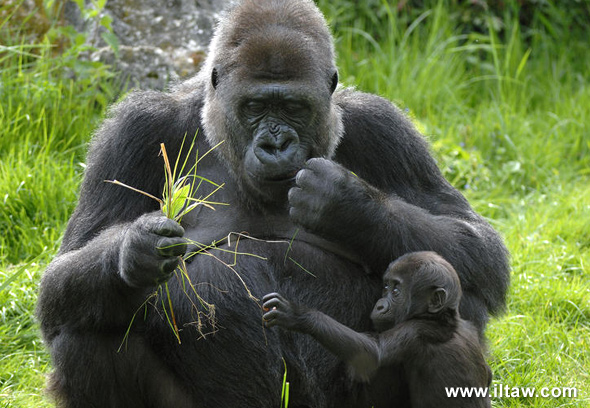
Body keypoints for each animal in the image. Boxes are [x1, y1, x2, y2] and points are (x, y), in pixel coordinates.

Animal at [266, 252, 492, 408]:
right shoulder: (467, 325)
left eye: (396, 290)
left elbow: (372, 354)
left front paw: (299, 315)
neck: (442, 317)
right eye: (385, 288)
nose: (380, 305)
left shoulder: (414, 330)